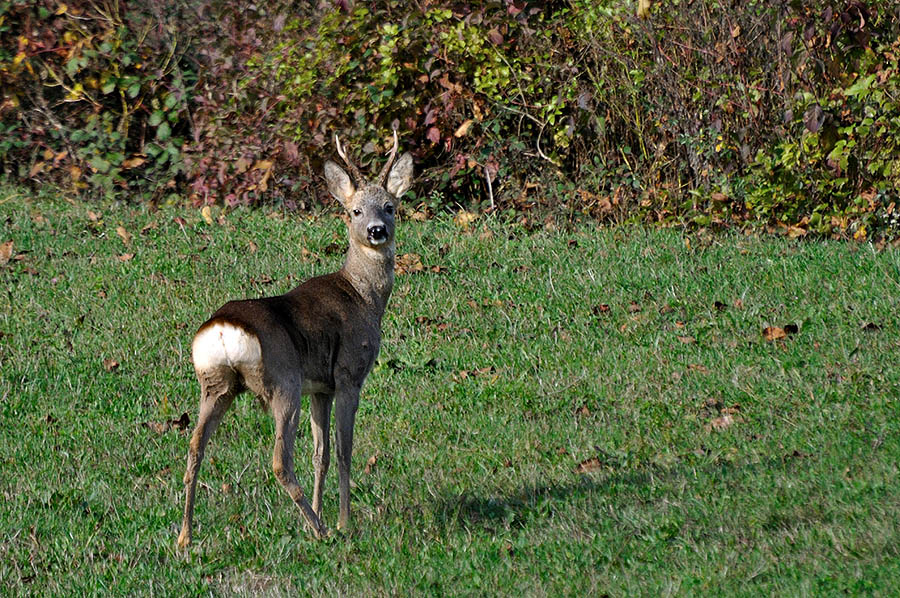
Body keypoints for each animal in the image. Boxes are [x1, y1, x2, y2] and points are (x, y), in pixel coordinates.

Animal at [177, 131, 414, 548]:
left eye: (389, 207)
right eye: (354, 211)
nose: (376, 231)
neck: (363, 296)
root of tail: (222, 328)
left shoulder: (320, 387)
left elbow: (321, 453)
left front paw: (322, 511)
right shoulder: (349, 374)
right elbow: (344, 450)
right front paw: (343, 521)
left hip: (216, 384)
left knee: (194, 449)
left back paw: (185, 538)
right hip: (282, 382)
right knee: (279, 461)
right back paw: (321, 531)